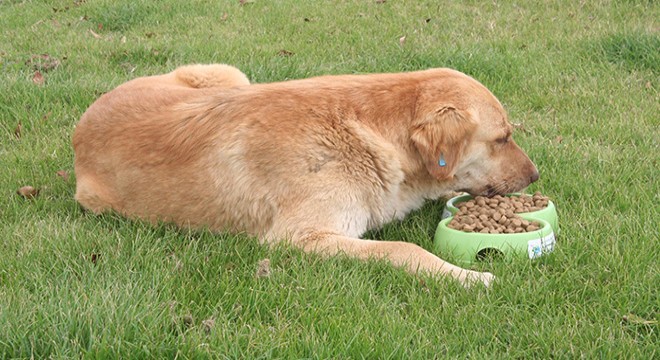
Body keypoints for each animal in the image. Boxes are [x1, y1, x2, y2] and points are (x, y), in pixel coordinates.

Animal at [73, 63, 536, 286]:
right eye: (502, 138)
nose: (535, 177)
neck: (373, 133)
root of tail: (81, 126)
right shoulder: (299, 238)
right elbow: (403, 249)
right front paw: (470, 277)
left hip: (230, 77)